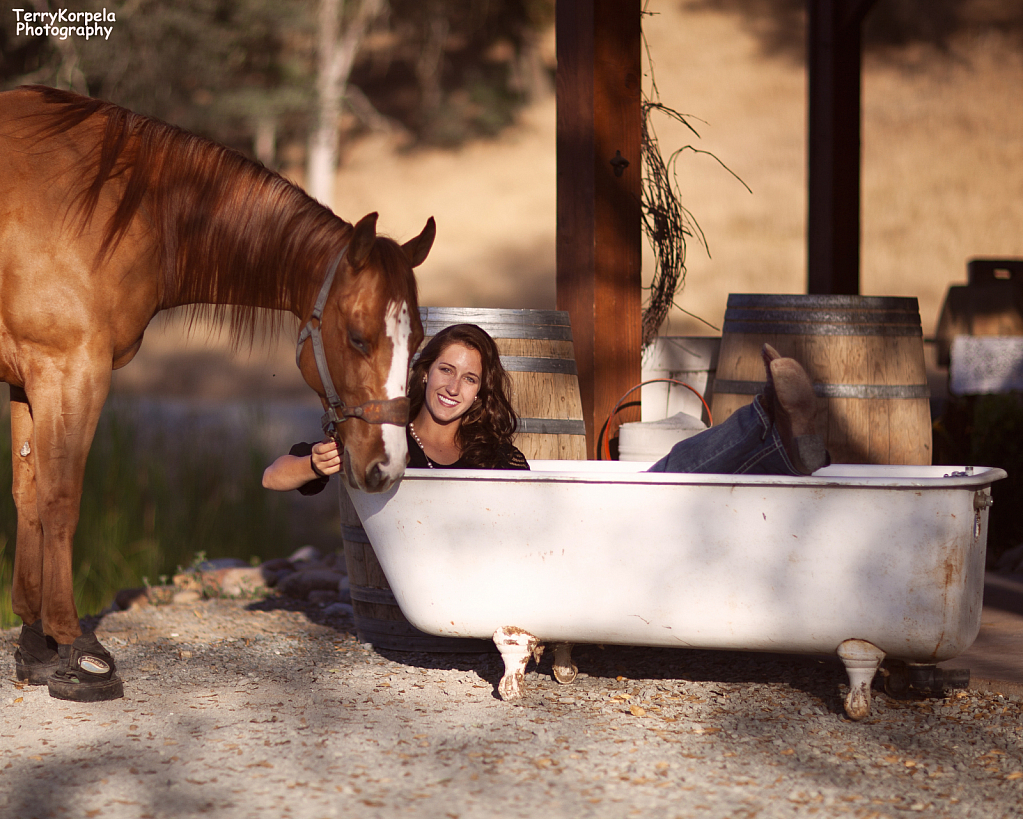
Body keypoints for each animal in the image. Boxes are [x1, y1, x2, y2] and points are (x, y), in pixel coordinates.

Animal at [0, 86, 431, 695]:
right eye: (357, 336)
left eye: (418, 338)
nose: (386, 466)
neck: (118, 207)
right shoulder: (68, 370)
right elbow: (60, 499)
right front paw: (75, 651)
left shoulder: (28, 377)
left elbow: (28, 496)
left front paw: (37, 646)